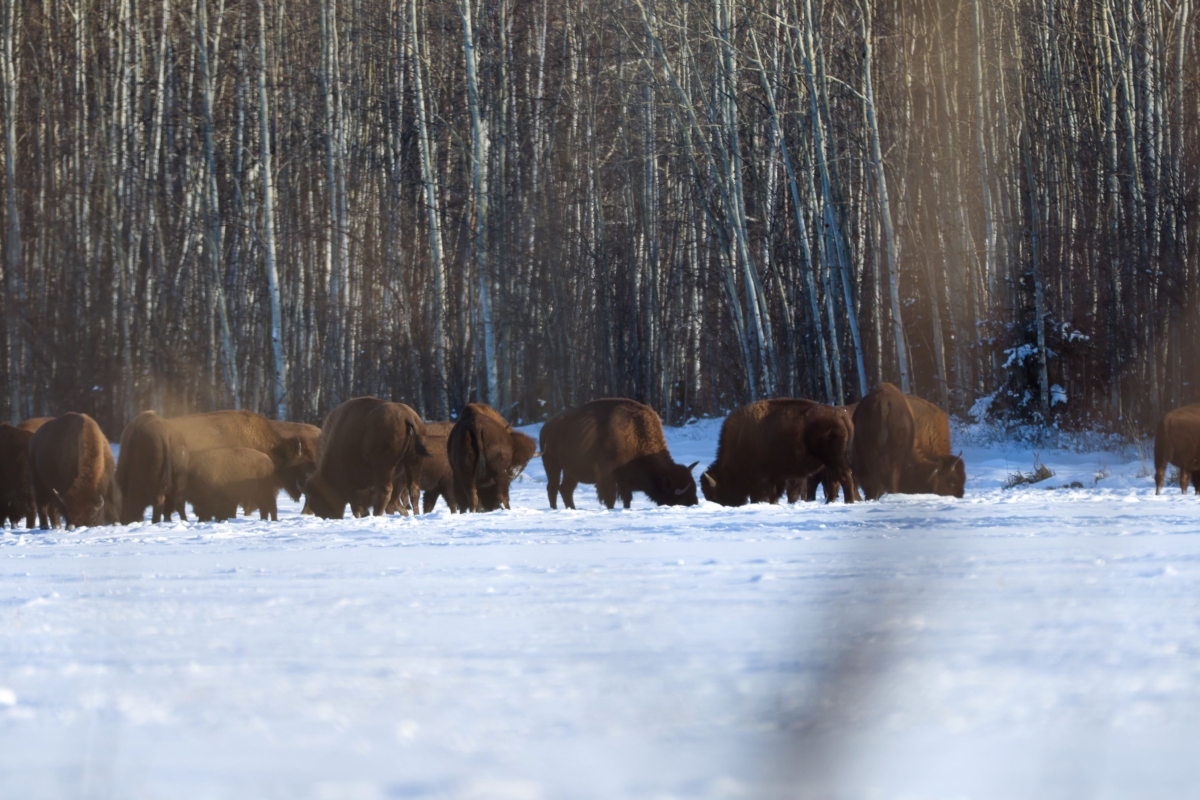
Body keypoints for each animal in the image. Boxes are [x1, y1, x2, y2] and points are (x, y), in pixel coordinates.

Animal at [540, 398, 697, 509]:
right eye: (682, 498)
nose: (695, 504)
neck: (636, 435)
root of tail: (546, 427)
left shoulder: (625, 483)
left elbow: (626, 499)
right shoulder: (607, 476)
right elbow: (610, 498)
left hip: (571, 471)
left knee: (565, 489)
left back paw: (572, 509)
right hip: (552, 465)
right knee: (553, 487)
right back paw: (555, 509)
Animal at [701, 399, 855, 506]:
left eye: (715, 495)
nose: (727, 505)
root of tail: (842, 416)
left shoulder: (762, 479)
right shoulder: (775, 477)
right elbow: (774, 495)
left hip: (834, 459)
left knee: (844, 478)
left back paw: (848, 501)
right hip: (830, 463)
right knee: (835, 481)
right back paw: (830, 502)